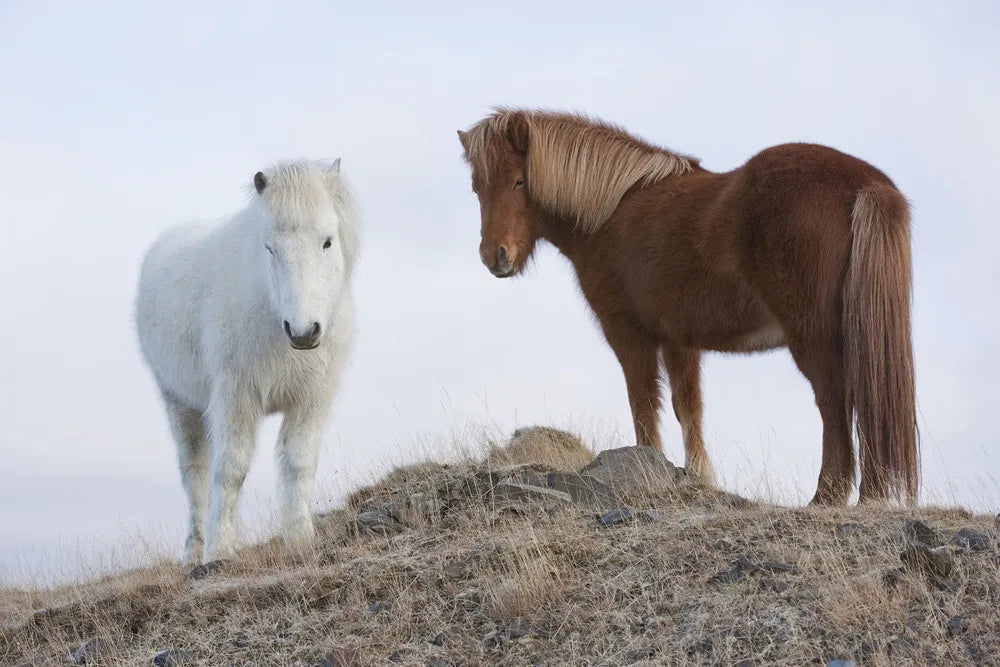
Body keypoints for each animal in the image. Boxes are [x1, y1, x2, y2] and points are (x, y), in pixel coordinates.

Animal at [135, 159, 360, 564]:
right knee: (195, 473)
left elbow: (298, 462)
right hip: (179, 404)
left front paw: (300, 539)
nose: (303, 332)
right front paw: (219, 552)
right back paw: (196, 549)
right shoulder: (236, 396)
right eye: (268, 247)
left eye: (327, 241)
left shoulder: (311, 399)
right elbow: (230, 469)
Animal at [458, 108, 918, 505]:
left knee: (834, 399)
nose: (495, 257)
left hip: (813, 336)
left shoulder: (629, 334)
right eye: (477, 187)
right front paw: (700, 476)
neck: (612, 210)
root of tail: (863, 183)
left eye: (519, 181)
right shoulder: (680, 340)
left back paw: (828, 496)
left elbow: (644, 404)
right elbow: (688, 408)